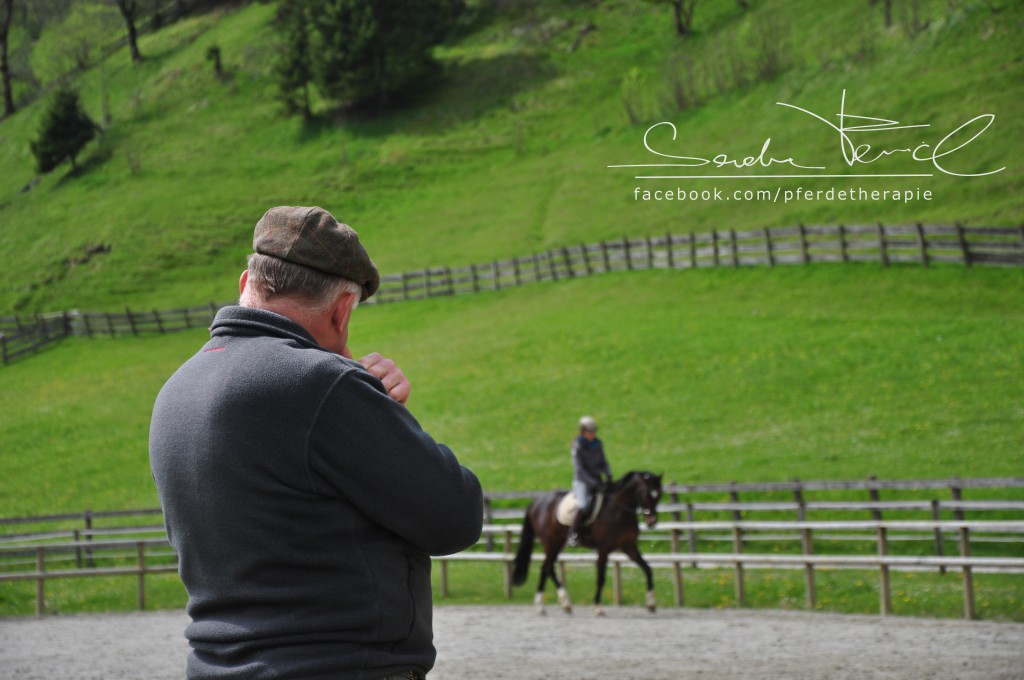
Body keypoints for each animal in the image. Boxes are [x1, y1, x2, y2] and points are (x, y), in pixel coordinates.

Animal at [512, 471, 663, 614]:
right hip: (550, 543)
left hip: (557, 544)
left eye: (659, 495)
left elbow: (648, 569)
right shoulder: (603, 549)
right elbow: (600, 577)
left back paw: (554, 606)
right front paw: (597, 608)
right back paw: (553, 605)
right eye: (646, 494)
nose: (652, 522)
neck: (619, 510)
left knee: (546, 568)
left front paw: (651, 604)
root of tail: (537, 501)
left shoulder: (629, 547)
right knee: (547, 568)